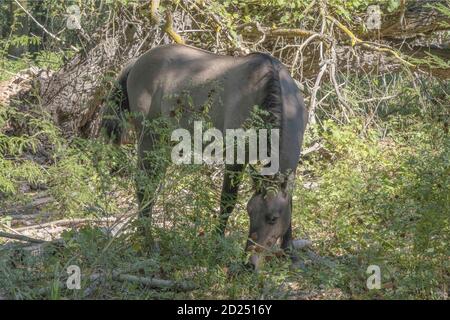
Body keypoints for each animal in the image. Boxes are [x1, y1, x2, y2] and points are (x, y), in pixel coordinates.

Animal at [102, 44, 308, 270]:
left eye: (272, 218)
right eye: (250, 211)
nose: (248, 263)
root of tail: (139, 61)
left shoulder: (291, 169)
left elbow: (290, 203)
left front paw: (290, 253)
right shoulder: (235, 158)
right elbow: (227, 201)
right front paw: (217, 246)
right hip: (149, 138)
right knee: (143, 186)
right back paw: (147, 241)